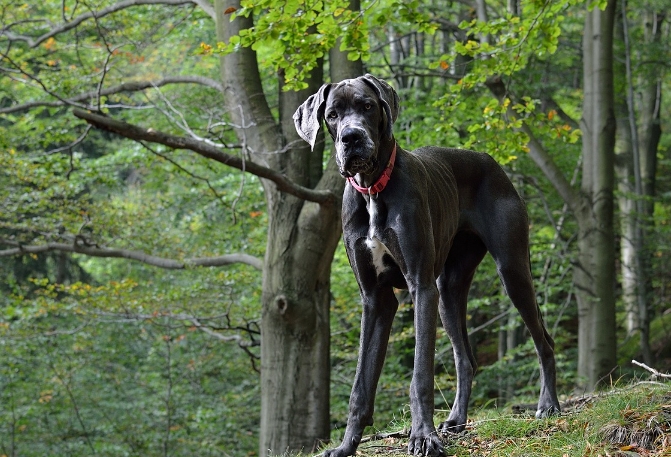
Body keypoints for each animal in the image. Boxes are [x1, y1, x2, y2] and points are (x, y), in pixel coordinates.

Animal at [294, 73, 560, 454]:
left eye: (367, 106)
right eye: (332, 114)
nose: (351, 137)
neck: (373, 190)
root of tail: (490, 161)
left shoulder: (420, 287)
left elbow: (420, 374)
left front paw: (422, 436)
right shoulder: (375, 300)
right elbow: (361, 384)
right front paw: (346, 446)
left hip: (511, 271)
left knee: (544, 342)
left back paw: (548, 405)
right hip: (447, 291)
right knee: (466, 359)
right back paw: (457, 419)